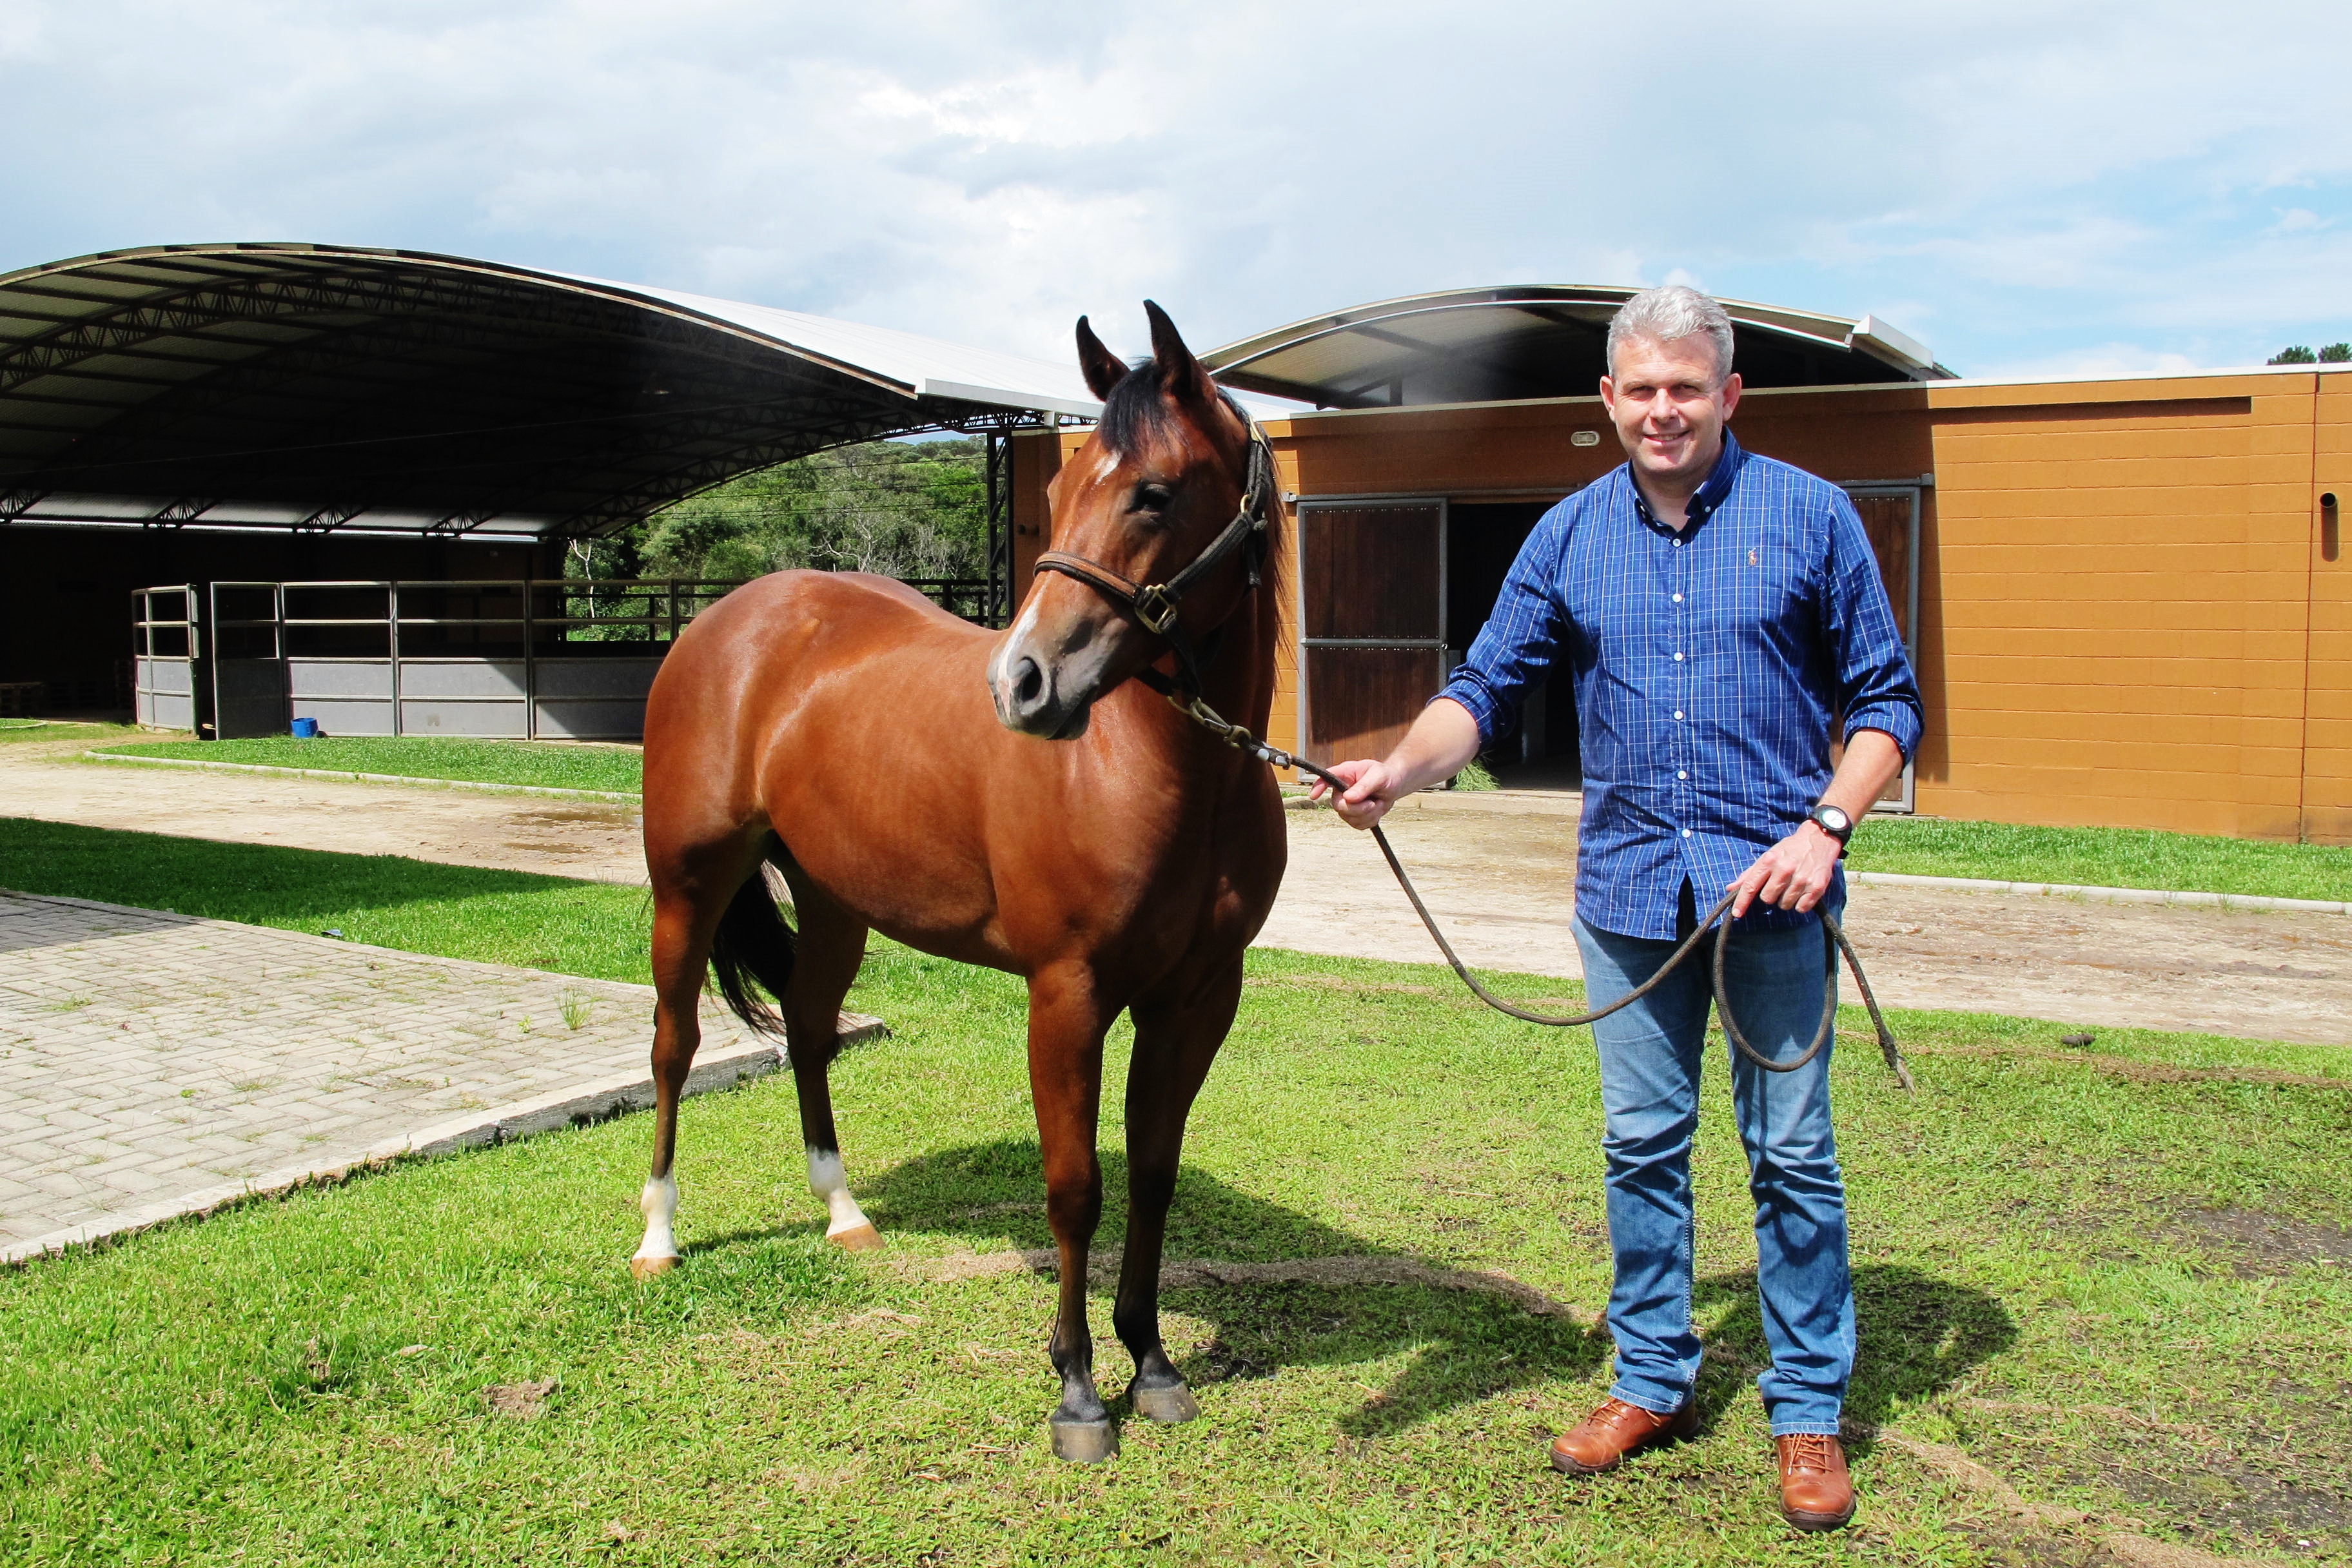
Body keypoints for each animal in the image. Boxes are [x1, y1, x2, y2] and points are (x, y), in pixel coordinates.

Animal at [631, 302, 1289, 1463]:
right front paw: (1078, 1392)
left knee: (808, 1031)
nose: (1021, 684)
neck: (1167, 772)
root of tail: (728, 618)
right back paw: (658, 1236)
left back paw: (843, 1213)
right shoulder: (1066, 995)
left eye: (1153, 491)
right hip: (688, 885)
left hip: (836, 900)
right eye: (1055, 497)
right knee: (675, 1046)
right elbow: (1075, 1188)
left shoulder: (1197, 998)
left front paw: (1154, 1363)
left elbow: (1153, 1173)